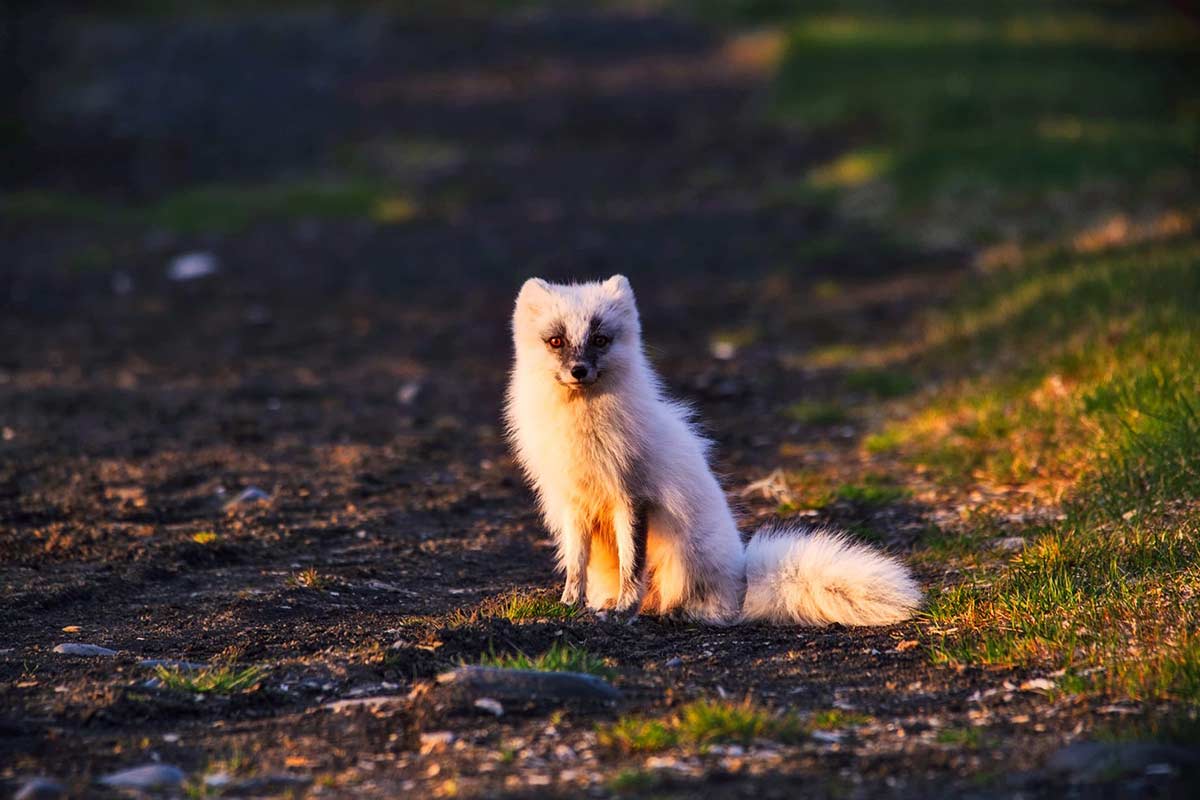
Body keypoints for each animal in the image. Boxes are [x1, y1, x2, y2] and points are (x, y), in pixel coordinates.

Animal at [504, 275, 921, 626]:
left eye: (600, 340)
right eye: (556, 341)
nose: (579, 370)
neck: (579, 430)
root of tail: (743, 582)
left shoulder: (632, 496)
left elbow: (631, 566)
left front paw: (624, 611)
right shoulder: (573, 503)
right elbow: (576, 565)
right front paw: (569, 604)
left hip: (684, 558)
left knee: (705, 607)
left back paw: (672, 612)